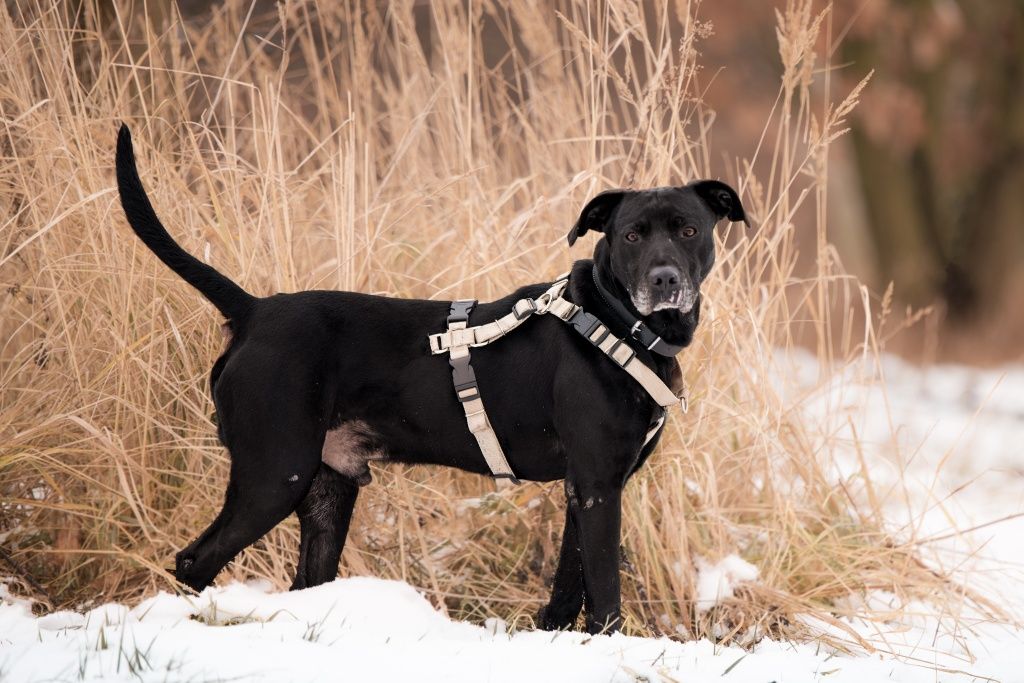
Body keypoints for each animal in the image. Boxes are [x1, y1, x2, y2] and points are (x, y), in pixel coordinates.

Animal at [116, 124, 749, 634]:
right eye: (632, 235)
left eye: (689, 231)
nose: (665, 281)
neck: (620, 320)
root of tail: (253, 311)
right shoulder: (596, 485)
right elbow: (605, 591)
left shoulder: (588, 487)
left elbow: (570, 588)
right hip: (273, 475)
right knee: (195, 561)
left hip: (326, 492)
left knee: (302, 583)